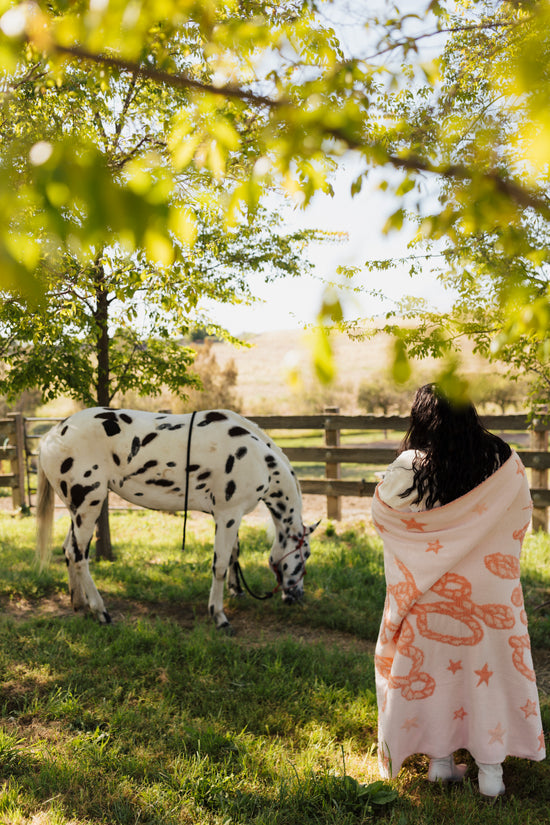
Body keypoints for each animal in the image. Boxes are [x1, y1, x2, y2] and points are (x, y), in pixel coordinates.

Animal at [36, 408, 316, 632]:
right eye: (305, 554)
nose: (298, 596)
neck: (259, 458)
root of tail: (51, 436)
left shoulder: (230, 517)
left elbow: (234, 554)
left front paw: (237, 592)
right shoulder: (228, 515)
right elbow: (220, 565)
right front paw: (219, 616)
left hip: (78, 509)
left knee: (68, 549)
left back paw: (79, 603)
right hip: (88, 504)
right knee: (79, 555)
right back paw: (101, 612)